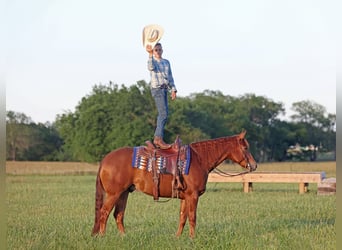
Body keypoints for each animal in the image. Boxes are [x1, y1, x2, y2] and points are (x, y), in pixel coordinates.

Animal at [91, 131, 256, 238]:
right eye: (245, 148)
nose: (254, 165)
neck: (199, 158)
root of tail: (105, 159)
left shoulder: (185, 197)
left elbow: (182, 217)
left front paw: (178, 237)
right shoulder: (193, 196)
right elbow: (192, 217)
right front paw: (193, 238)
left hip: (124, 193)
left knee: (118, 215)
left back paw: (124, 237)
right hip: (114, 194)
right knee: (104, 213)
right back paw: (103, 237)